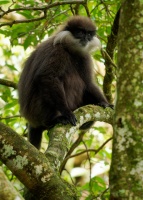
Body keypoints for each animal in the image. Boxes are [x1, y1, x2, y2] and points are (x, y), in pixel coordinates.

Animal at [17, 15, 112, 149]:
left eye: (89, 34)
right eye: (80, 32)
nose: (85, 39)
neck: (70, 50)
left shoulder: (84, 57)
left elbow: (88, 84)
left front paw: (104, 103)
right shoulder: (57, 51)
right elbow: (48, 77)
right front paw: (67, 113)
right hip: (38, 110)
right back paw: (54, 120)